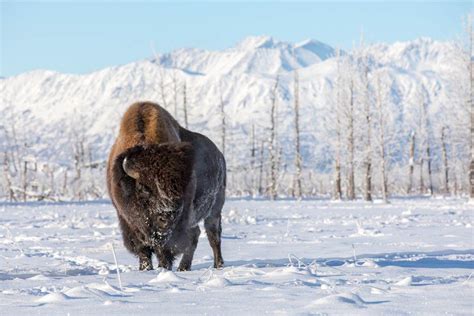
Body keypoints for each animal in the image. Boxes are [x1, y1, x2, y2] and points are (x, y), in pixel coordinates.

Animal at [107, 102, 226, 272]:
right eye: (144, 189)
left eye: (180, 188)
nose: (166, 216)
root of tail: (219, 156)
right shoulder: (129, 223)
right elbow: (143, 249)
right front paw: (145, 268)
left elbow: (165, 249)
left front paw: (163, 267)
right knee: (196, 234)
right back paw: (184, 267)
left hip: (214, 211)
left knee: (212, 236)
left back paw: (217, 265)